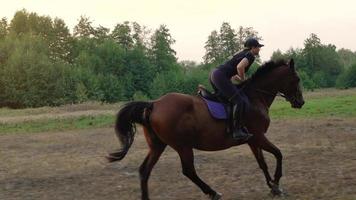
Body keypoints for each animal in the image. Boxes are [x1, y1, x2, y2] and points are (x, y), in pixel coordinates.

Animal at [105, 58, 304, 199]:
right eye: (297, 79)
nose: (300, 102)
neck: (255, 97)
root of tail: (154, 104)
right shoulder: (258, 136)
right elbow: (278, 154)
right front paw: (276, 184)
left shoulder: (252, 140)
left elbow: (262, 163)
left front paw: (272, 187)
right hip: (183, 146)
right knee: (188, 171)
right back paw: (213, 193)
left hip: (158, 145)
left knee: (145, 171)